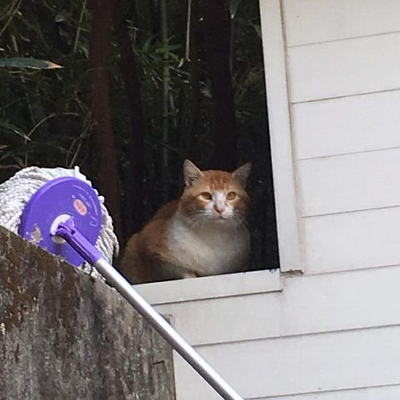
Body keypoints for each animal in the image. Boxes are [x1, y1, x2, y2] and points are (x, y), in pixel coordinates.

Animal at [119, 160, 252, 284]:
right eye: (206, 195)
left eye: (231, 195)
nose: (220, 209)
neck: (215, 236)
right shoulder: (153, 250)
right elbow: (182, 270)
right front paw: (191, 276)